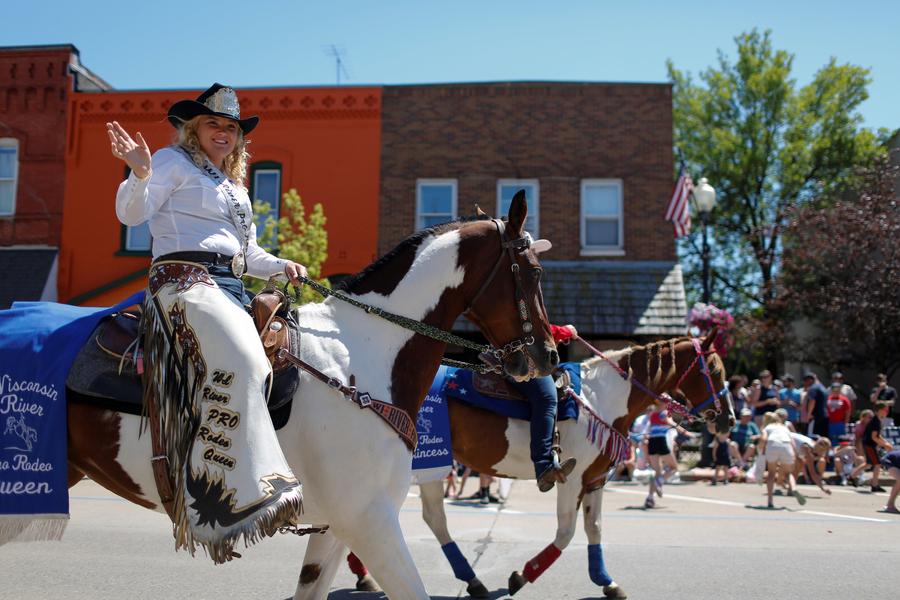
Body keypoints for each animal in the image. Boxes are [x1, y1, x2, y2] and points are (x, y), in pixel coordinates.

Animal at [366, 336, 732, 596]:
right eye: (715, 371)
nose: (728, 419)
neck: (600, 399)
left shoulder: (595, 479)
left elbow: (594, 528)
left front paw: (606, 581)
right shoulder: (572, 480)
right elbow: (566, 533)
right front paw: (521, 576)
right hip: (428, 462)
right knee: (429, 518)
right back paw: (468, 579)